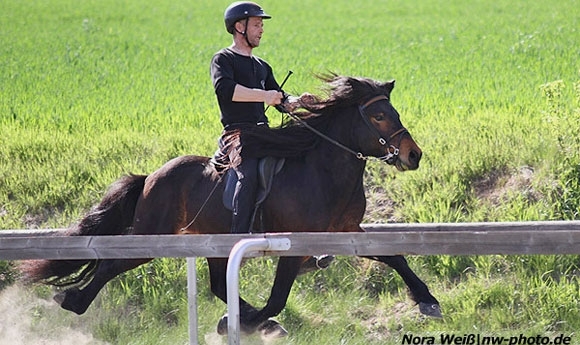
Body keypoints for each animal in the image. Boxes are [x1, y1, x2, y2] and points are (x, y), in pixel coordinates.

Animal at [21, 74, 440, 336]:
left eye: (393, 112)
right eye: (379, 115)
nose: (413, 155)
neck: (322, 169)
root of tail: (152, 175)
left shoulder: (346, 232)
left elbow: (393, 256)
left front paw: (427, 300)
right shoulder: (293, 244)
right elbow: (277, 297)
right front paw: (246, 322)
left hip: (210, 241)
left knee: (218, 283)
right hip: (152, 234)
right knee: (112, 264)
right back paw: (73, 299)